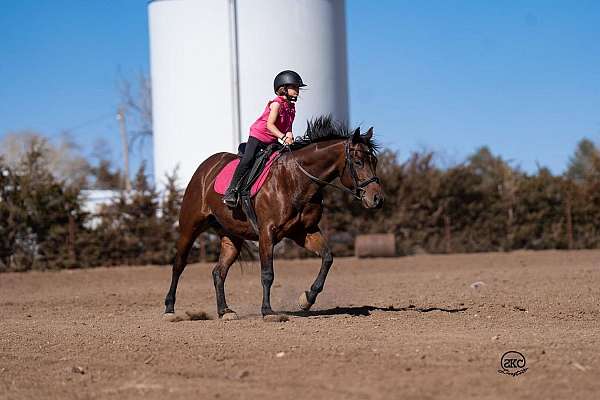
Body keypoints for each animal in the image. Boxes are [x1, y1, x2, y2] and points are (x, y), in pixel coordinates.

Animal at [164, 115, 384, 318]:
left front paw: (307, 299)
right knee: (179, 265)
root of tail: (206, 167)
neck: (297, 180)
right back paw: (169, 309)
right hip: (190, 228)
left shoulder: (304, 232)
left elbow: (327, 258)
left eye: (374, 161)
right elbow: (267, 273)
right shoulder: (267, 233)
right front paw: (267, 311)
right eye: (358, 162)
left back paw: (225, 311)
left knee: (219, 272)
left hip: (231, 236)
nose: (377, 199)